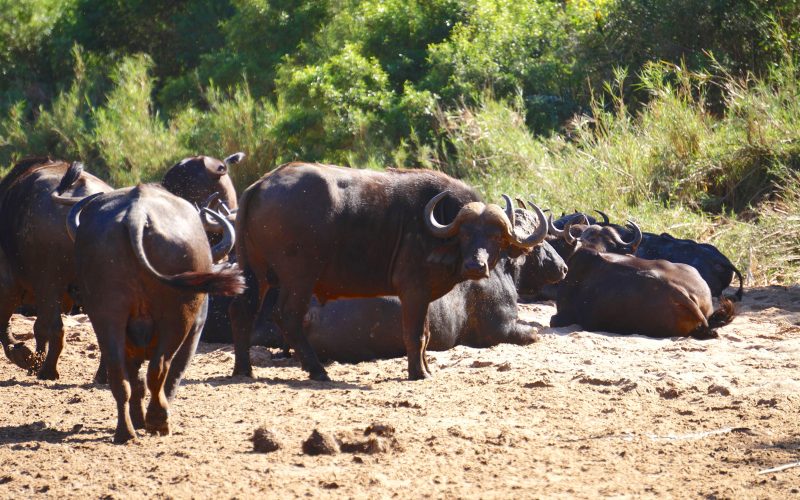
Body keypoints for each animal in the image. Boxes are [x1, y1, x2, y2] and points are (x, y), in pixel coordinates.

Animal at [68, 183, 244, 442]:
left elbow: (135, 382)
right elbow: (174, 374)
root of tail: (137, 214)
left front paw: (139, 419)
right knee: (160, 367)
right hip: (177, 317)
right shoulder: (195, 332)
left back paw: (126, 431)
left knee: (118, 373)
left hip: (106, 314)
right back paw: (159, 421)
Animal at [228, 163, 548, 378]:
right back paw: (317, 370)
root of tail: (260, 185)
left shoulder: (424, 297)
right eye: (466, 233)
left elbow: (426, 334)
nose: (476, 265)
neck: (437, 229)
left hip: (255, 272)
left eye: (495, 236)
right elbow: (415, 334)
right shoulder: (413, 290)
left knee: (243, 311)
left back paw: (244, 369)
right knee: (286, 316)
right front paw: (418, 373)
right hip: (299, 277)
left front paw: (426, 368)